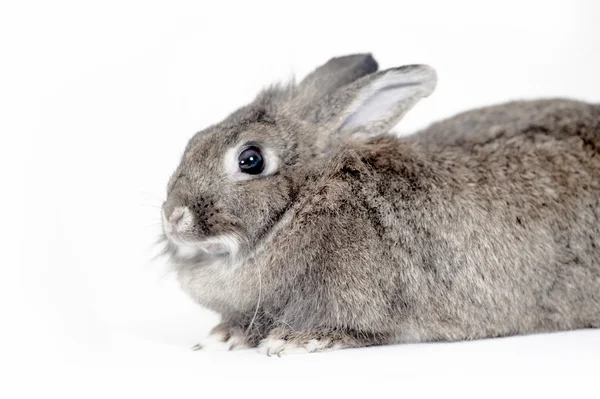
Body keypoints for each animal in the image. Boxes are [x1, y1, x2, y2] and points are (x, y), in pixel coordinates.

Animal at [161, 53, 600, 356]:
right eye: (194, 140)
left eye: (250, 159)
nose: (173, 217)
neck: (305, 200)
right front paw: (222, 338)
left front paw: (296, 341)